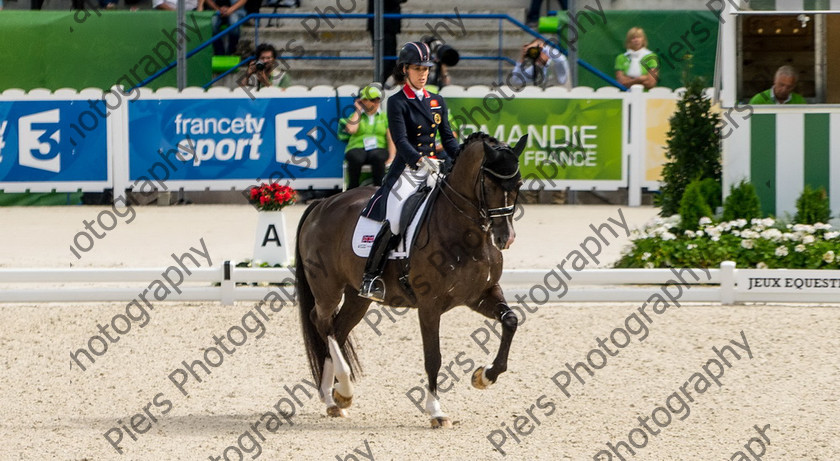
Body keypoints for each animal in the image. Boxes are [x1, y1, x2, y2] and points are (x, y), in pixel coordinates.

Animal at [296, 131, 524, 426]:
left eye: (518, 183)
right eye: (489, 183)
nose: (505, 237)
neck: (467, 233)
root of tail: (321, 204)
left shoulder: (481, 295)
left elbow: (510, 321)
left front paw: (484, 376)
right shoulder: (429, 305)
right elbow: (433, 357)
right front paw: (436, 411)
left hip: (358, 297)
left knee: (337, 328)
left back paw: (333, 399)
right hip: (328, 288)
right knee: (322, 323)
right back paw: (342, 391)